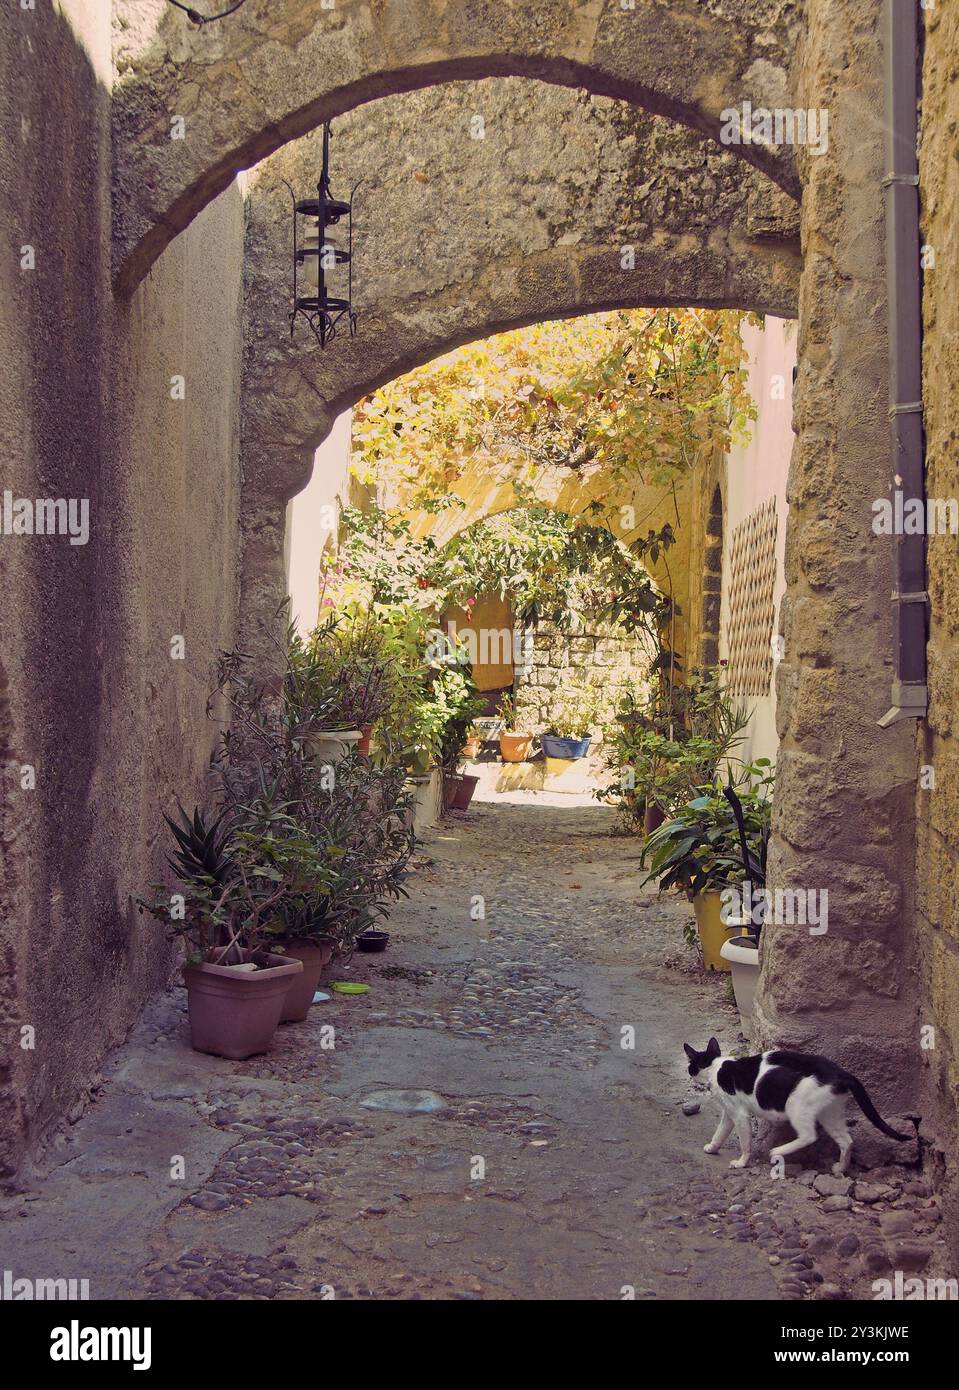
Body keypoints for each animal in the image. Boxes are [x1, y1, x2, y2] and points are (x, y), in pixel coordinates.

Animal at [681, 1039, 911, 1167]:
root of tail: (842, 1072)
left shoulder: (739, 1114)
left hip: (795, 1105)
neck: (715, 1067)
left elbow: (745, 1143)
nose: (690, 1070)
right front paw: (712, 1147)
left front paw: (741, 1162)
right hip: (830, 1114)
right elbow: (720, 1132)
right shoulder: (729, 1114)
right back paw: (840, 1169)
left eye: (691, 1064)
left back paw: (778, 1151)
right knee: (847, 1141)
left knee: (809, 1136)